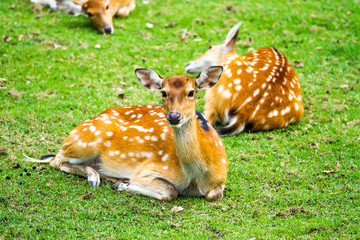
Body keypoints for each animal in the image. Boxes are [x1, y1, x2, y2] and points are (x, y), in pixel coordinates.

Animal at [23, 66, 228, 202]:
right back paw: (97, 178)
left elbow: (214, 195)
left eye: (192, 92)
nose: (174, 116)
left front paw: (122, 184)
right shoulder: (147, 170)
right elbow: (171, 191)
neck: (196, 178)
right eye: (163, 92)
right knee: (55, 160)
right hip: (85, 141)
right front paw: (123, 185)